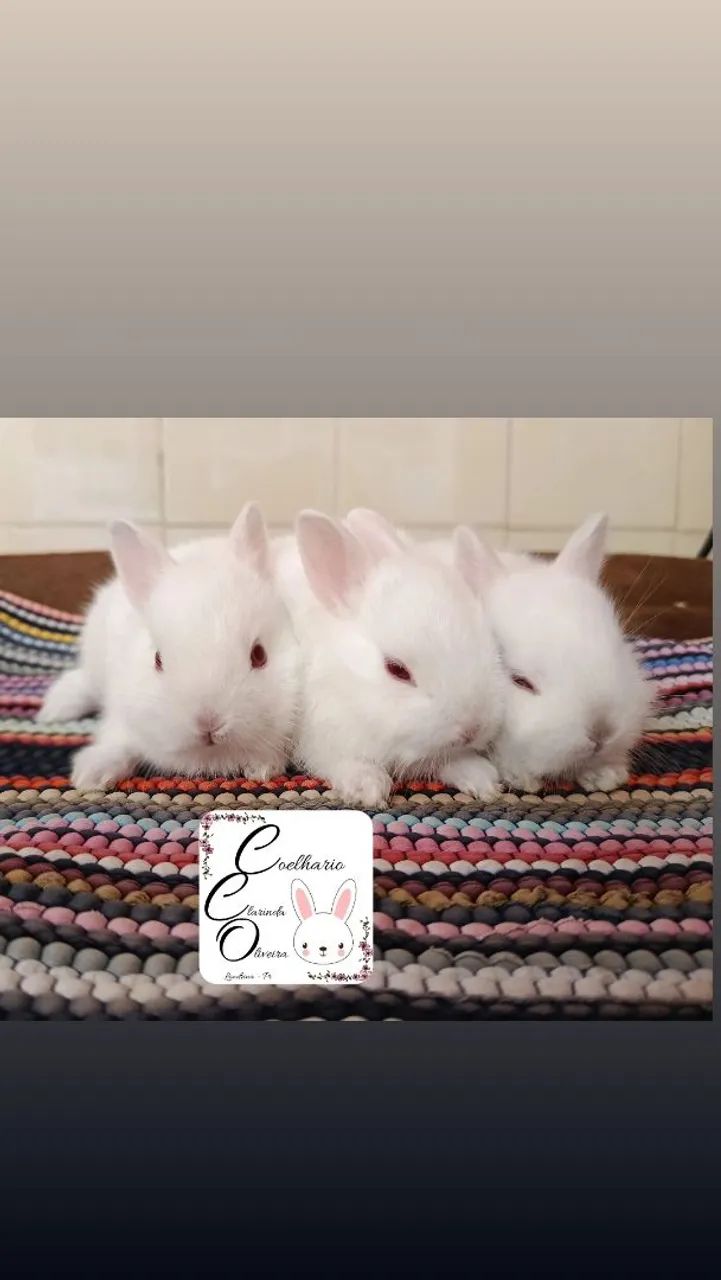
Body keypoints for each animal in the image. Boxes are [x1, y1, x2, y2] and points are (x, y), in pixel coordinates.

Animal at [37, 503, 299, 790]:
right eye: (157, 659)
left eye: (259, 655)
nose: (209, 724)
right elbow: (116, 742)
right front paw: (90, 776)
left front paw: (263, 768)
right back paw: (53, 711)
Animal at [272, 509, 506, 807]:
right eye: (397, 669)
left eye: (487, 641)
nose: (472, 727)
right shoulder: (323, 737)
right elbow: (342, 761)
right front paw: (367, 789)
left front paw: (483, 780)